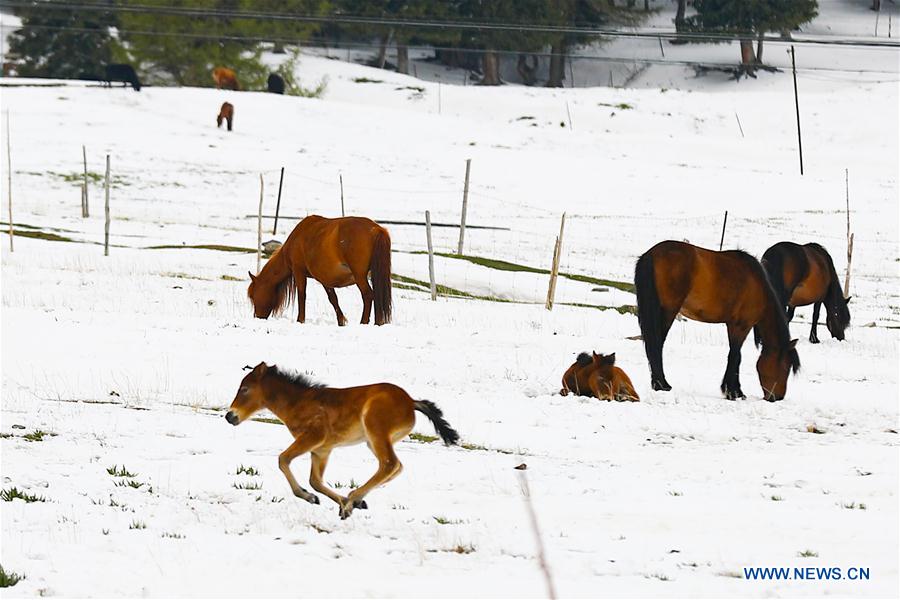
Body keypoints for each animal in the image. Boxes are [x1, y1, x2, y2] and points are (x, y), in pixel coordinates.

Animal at [251, 216, 396, 326]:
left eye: (253, 296)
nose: (257, 317)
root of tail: (377, 229)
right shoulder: (325, 279)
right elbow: (333, 299)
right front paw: (341, 321)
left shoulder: (299, 272)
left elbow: (302, 295)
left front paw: (300, 320)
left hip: (360, 276)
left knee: (368, 295)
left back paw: (364, 322)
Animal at [636, 240, 800, 404]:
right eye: (786, 367)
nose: (777, 397)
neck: (758, 285)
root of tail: (651, 254)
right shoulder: (741, 326)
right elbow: (735, 356)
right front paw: (733, 392)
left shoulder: (731, 325)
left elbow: (735, 355)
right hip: (668, 311)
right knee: (657, 344)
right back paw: (662, 384)